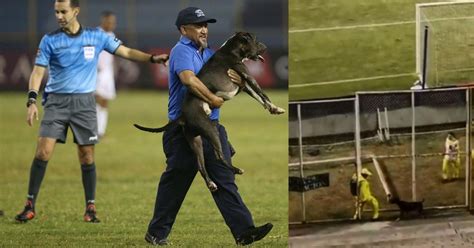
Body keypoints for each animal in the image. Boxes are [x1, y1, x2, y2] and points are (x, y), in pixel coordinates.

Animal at [135, 32, 286, 192]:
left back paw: (211, 184)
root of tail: (183, 116)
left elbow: (259, 97)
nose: (265, 47)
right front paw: (275, 106)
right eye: (255, 41)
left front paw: (274, 109)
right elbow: (263, 94)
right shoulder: (247, 76)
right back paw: (236, 170)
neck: (231, 49)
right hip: (211, 130)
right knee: (219, 156)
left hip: (195, 140)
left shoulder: (243, 84)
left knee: (201, 166)